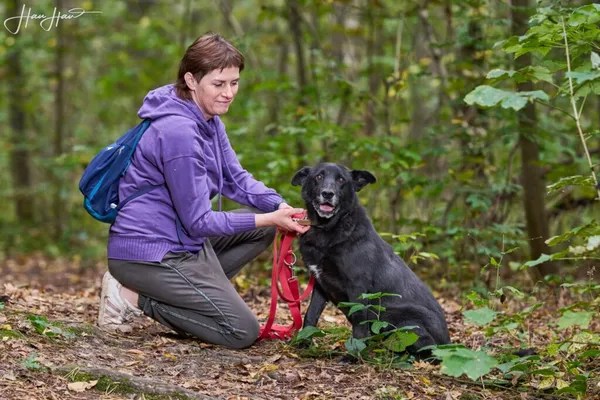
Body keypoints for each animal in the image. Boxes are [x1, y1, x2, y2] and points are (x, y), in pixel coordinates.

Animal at [290, 163, 450, 356]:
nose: (328, 193)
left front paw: (354, 356)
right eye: (318, 177)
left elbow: (359, 325)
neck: (328, 228)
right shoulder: (321, 284)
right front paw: (303, 343)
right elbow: (310, 315)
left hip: (400, 320)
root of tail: (447, 343)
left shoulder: (358, 287)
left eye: (341, 180)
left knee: (428, 350)